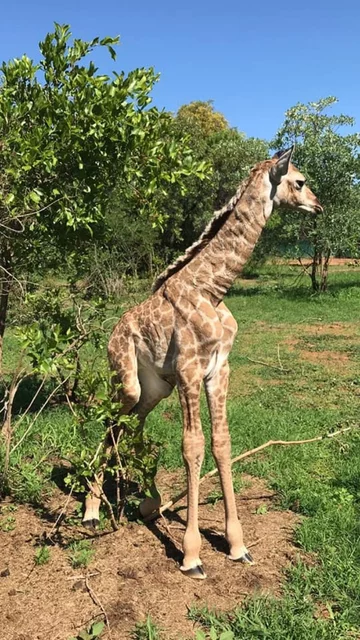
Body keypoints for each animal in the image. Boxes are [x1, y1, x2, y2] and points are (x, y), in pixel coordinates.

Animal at [83, 146, 324, 580]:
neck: (212, 290)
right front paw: (192, 554)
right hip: (126, 379)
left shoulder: (219, 369)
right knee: (112, 420)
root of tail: (111, 333)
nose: (318, 204)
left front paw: (237, 545)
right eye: (299, 181)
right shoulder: (189, 370)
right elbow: (192, 447)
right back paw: (93, 510)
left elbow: (222, 443)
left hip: (155, 388)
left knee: (131, 425)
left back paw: (148, 502)